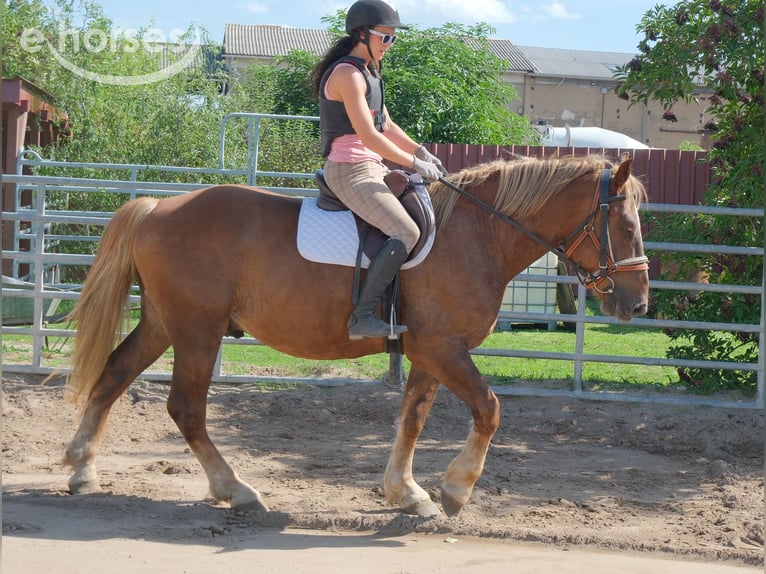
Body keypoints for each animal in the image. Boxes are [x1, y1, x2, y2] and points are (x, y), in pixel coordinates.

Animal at [62, 154, 649, 518]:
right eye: (625, 227)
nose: (638, 303)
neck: (475, 234)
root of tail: (157, 208)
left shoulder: (428, 351)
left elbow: (412, 417)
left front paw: (407, 493)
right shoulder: (443, 348)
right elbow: (489, 407)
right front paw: (455, 490)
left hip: (165, 323)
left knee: (113, 375)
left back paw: (82, 470)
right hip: (197, 331)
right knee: (185, 407)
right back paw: (237, 490)